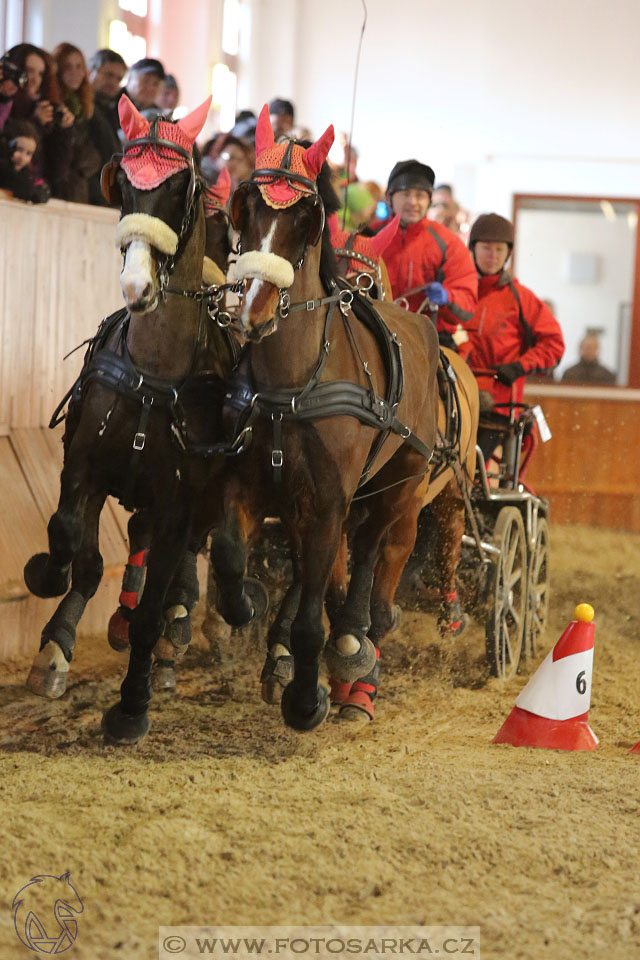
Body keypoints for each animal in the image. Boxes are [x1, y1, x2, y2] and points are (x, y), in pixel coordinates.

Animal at [25, 95, 258, 744]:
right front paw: (52, 625)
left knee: (191, 556)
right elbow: (71, 542)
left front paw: (132, 704)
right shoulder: (83, 465)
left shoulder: (180, 501)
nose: (136, 284)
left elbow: (157, 602)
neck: (155, 373)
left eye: (180, 186)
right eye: (124, 183)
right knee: (130, 540)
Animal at [200, 105, 440, 732]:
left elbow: (317, 614)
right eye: (247, 208)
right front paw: (248, 607)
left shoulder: (331, 500)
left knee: (372, 549)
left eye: (306, 218)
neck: (291, 386)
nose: (254, 308)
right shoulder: (250, 484)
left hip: (401, 478)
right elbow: (232, 557)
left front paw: (310, 697)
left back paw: (354, 641)